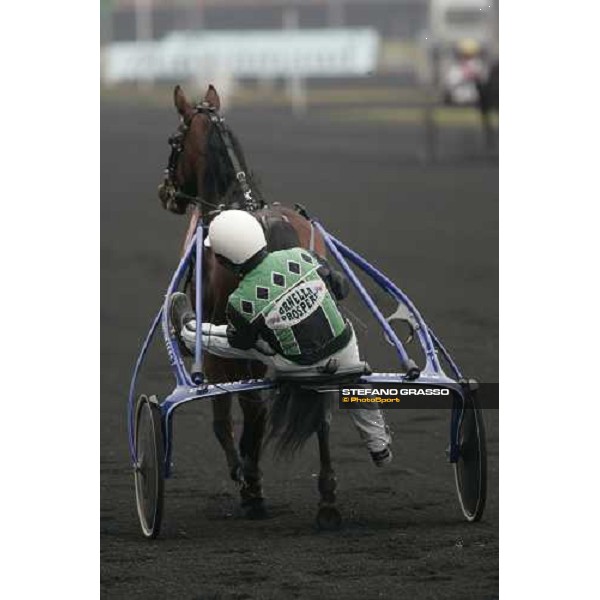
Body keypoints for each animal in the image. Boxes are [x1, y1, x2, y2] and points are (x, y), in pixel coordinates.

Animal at [157, 84, 342, 524]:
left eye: (173, 141)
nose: (165, 192)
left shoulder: (217, 344)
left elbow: (223, 417)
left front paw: (242, 472)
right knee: (322, 409)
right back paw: (327, 499)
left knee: (251, 405)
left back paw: (253, 486)